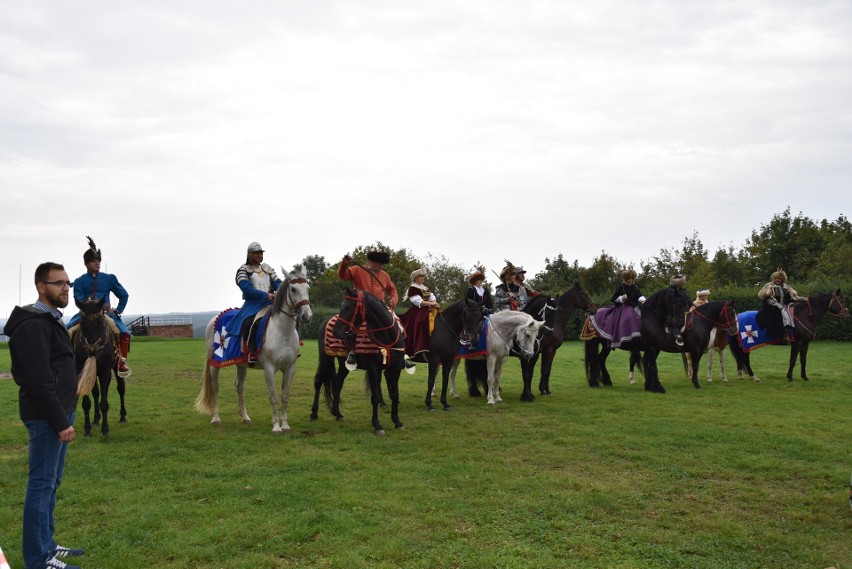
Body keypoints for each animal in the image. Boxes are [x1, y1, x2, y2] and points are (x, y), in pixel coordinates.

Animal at [71, 296, 125, 438]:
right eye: (83, 322)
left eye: (100, 322)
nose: (93, 351)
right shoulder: (82, 372)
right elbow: (86, 403)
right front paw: (87, 428)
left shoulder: (105, 372)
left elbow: (104, 403)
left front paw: (105, 429)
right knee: (95, 392)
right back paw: (95, 419)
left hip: (117, 368)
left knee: (121, 388)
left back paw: (123, 416)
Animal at [195, 270, 312, 430]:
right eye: (293, 289)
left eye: (308, 288)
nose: (307, 316)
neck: (282, 331)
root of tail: (214, 319)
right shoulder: (269, 368)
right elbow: (274, 397)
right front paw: (276, 427)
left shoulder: (290, 368)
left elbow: (285, 396)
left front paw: (285, 425)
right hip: (215, 363)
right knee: (215, 386)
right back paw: (216, 418)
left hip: (241, 364)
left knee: (239, 386)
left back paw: (245, 417)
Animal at [312, 288, 406, 434]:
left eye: (347, 307)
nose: (335, 331)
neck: (386, 337)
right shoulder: (374, 369)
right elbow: (375, 397)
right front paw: (377, 425)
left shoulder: (394, 368)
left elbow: (395, 395)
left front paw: (397, 421)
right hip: (325, 359)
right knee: (318, 382)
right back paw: (314, 413)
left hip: (343, 364)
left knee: (337, 383)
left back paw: (337, 413)